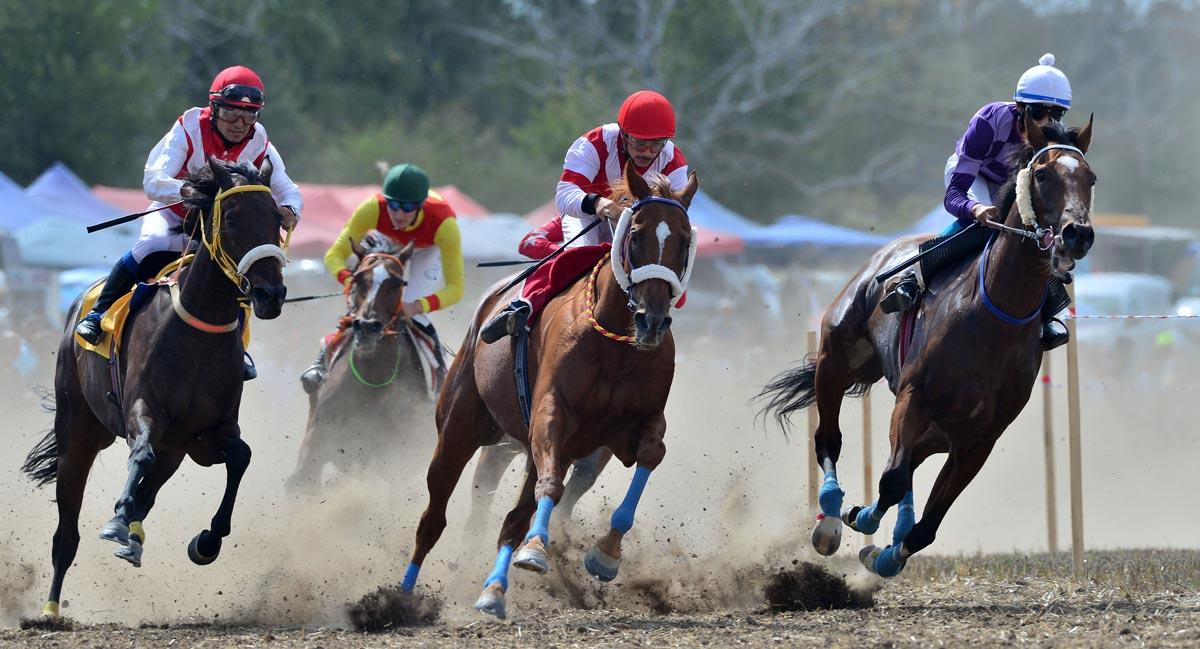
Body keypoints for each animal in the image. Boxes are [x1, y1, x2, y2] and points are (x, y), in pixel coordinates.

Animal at [21, 157, 289, 617]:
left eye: (276, 217)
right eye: (232, 219)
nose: (271, 294)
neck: (198, 332)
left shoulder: (207, 434)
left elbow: (241, 456)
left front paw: (207, 540)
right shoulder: (142, 411)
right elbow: (140, 453)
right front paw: (116, 520)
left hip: (174, 451)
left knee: (150, 487)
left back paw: (134, 537)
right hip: (78, 430)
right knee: (67, 528)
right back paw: (52, 608)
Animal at [285, 231, 432, 492]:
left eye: (398, 283)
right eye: (358, 278)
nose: (366, 327)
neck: (373, 379)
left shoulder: (397, 463)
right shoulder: (314, 448)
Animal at [395, 163, 699, 619]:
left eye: (683, 241)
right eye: (635, 235)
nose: (651, 321)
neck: (615, 343)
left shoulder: (631, 428)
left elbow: (649, 455)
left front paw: (605, 554)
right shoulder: (551, 413)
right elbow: (551, 487)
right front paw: (536, 551)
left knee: (513, 518)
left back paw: (494, 589)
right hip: (459, 428)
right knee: (434, 517)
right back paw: (402, 596)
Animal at [759, 113, 1095, 577]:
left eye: (1090, 178)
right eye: (1043, 174)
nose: (1077, 234)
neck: (992, 324)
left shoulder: (979, 438)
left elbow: (927, 524)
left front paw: (885, 555)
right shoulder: (914, 397)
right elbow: (890, 479)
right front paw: (860, 519)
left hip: (934, 428)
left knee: (909, 464)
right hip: (836, 358)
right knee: (829, 439)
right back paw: (828, 518)